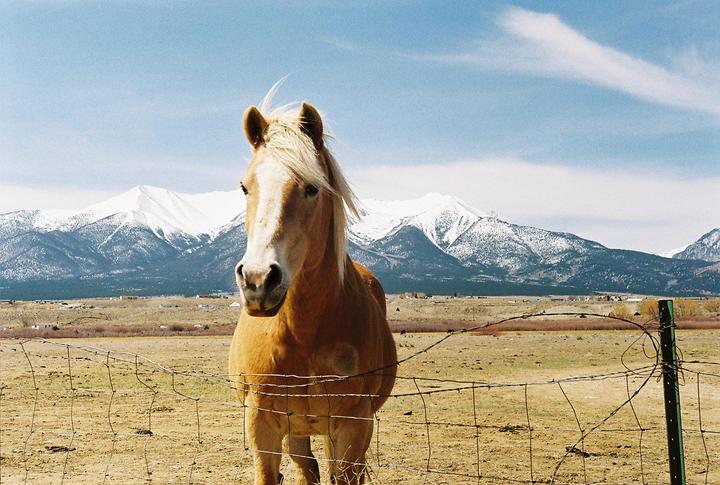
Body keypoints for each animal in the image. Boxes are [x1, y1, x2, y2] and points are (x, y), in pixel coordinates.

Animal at [228, 100, 397, 485]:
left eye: (311, 188)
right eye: (245, 187)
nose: (258, 280)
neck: (300, 332)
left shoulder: (353, 426)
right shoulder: (262, 424)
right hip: (299, 429)